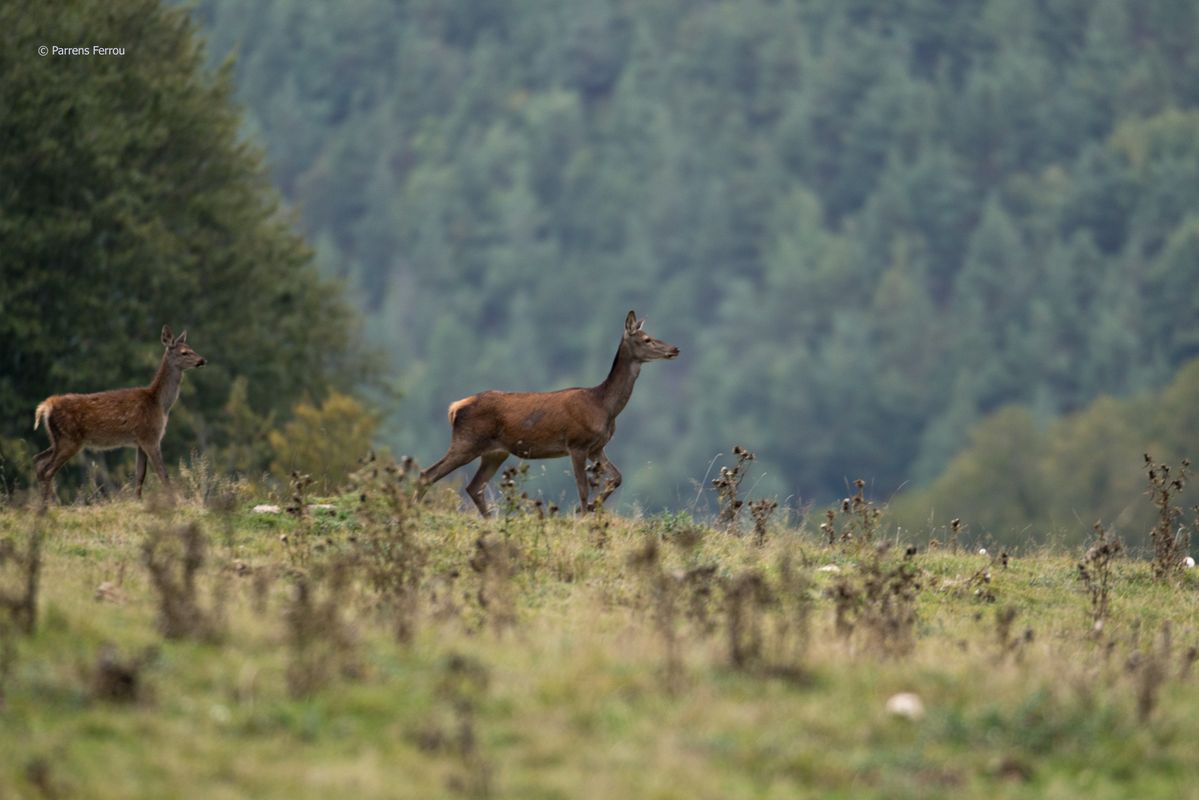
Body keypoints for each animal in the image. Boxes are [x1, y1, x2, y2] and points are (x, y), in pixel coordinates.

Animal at [32, 321, 206, 510]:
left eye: (192, 348)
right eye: (184, 352)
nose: (202, 360)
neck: (159, 404)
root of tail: (46, 407)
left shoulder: (140, 441)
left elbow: (140, 475)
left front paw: (137, 502)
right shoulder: (150, 436)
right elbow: (163, 473)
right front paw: (174, 503)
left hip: (58, 439)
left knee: (38, 461)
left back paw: (43, 506)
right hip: (69, 439)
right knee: (47, 470)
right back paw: (46, 508)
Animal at [417, 309, 681, 515]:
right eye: (646, 339)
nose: (675, 348)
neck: (604, 406)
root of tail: (455, 408)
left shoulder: (597, 447)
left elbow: (617, 477)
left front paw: (592, 508)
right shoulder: (577, 444)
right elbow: (583, 489)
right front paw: (582, 517)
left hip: (495, 452)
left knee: (473, 487)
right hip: (466, 442)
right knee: (427, 474)